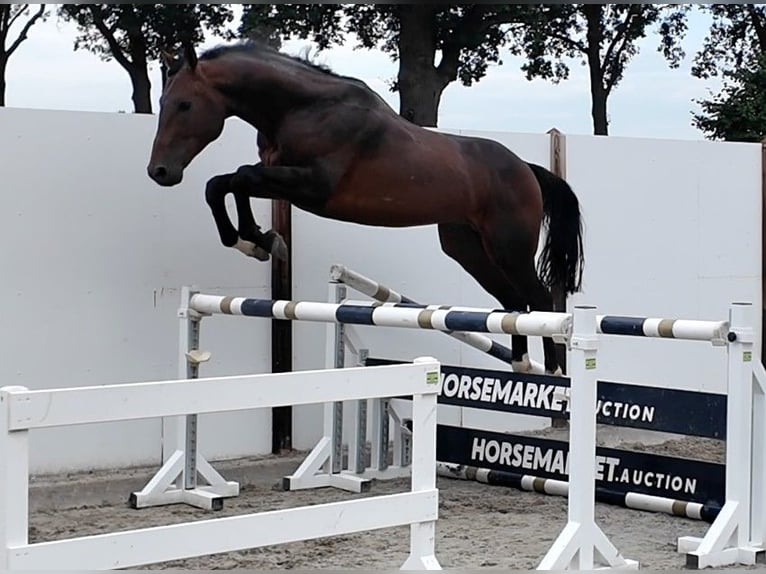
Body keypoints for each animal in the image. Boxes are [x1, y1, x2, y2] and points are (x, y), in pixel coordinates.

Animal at [146, 41, 585, 376]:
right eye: (163, 101)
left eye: (185, 104)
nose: (160, 171)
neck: (301, 108)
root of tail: (525, 168)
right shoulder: (282, 179)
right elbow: (223, 184)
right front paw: (255, 241)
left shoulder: (312, 187)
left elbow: (239, 178)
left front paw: (258, 240)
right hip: (468, 249)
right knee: (513, 301)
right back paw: (522, 364)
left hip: (508, 246)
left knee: (538, 298)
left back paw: (554, 371)